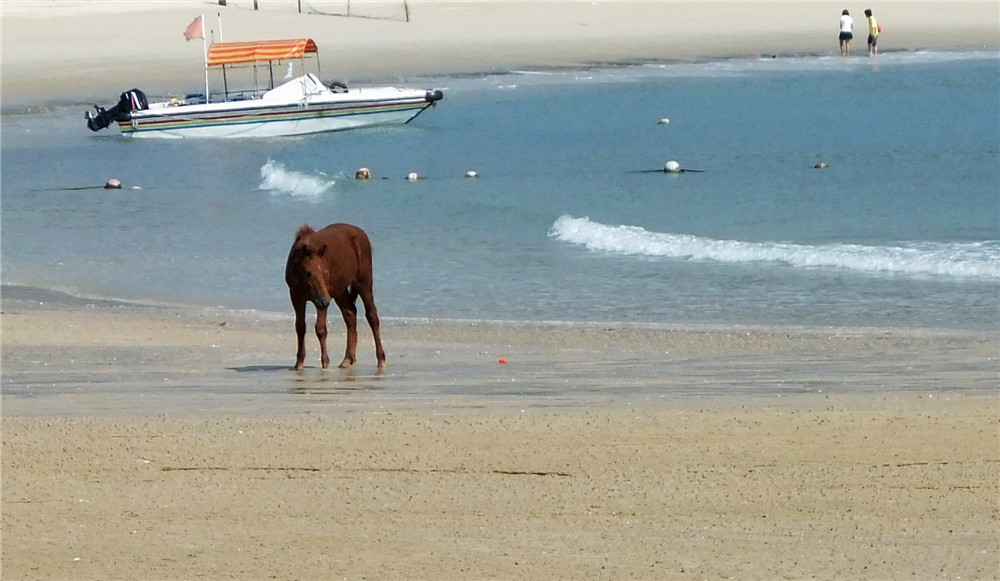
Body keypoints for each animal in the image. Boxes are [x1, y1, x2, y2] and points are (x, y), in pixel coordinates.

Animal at [288, 222, 388, 372]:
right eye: (308, 273)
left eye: (326, 272)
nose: (325, 300)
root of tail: (361, 232)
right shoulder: (296, 297)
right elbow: (300, 327)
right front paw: (299, 363)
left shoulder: (320, 301)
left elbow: (320, 329)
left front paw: (325, 363)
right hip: (340, 291)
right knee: (350, 313)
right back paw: (347, 359)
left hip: (363, 282)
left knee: (372, 316)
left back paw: (381, 360)